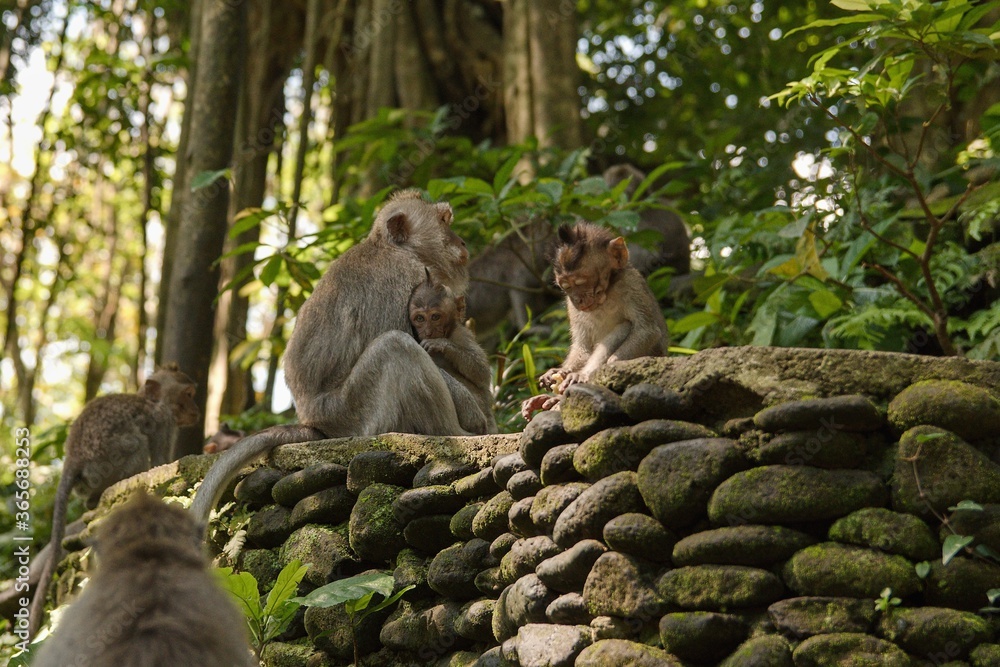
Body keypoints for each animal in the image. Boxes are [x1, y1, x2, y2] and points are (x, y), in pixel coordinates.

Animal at [29, 366, 199, 636]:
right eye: (188, 394)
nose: (196, 409)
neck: (150, 401)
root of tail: (72, 459)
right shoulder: (163, 423)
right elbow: (160, 459)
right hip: (107, 460)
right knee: (137, 444)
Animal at [193, 192, 482, 532]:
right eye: (443, 221)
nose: (461, 241)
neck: (393, 247)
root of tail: (314, 423)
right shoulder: (405, 279)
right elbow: (404, 338)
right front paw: (475, 411)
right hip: (356, 414)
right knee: (395, 346)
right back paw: (456, 435)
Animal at [408, 270, 498, 434]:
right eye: (420, 318)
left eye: (435, 317)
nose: (428, 332)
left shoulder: (461, 334)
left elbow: (481, 373)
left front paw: (440, 344)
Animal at [520, 224, 668, 422]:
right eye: (566, 286)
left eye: (581, 282)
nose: (577, 299)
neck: (606, 293)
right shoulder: (571, 306)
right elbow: (582, 346)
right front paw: (558, 373)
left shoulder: (631, 283)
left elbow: (647, 331)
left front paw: (592, 372)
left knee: (624, 326)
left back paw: (578, 379)